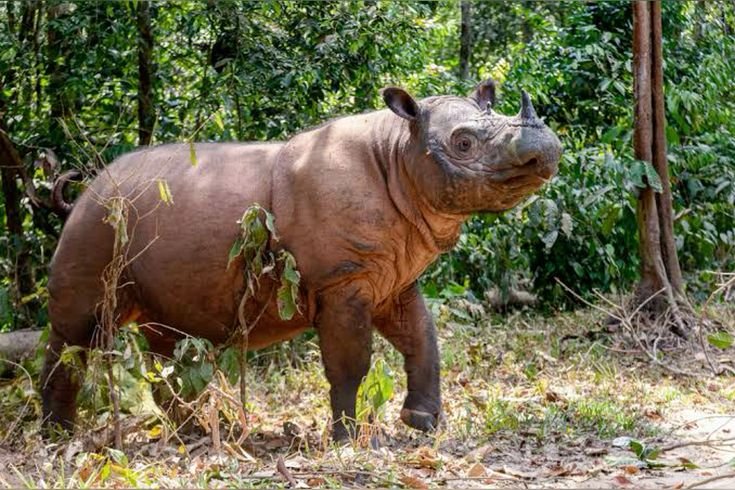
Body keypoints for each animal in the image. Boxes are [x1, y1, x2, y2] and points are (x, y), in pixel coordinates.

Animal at [42, 80, 561, 440]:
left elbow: (422, 340)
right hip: (96, 223)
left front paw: (423, 424)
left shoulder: (392, 276)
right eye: (463, 143)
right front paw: (351, 440)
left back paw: (196, 433)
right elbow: (351, 362)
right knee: (78, 333)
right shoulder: (342, 279)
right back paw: (60, 437)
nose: (547, 153)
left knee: (163, 338)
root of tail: (87, 189)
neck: (400, 148)